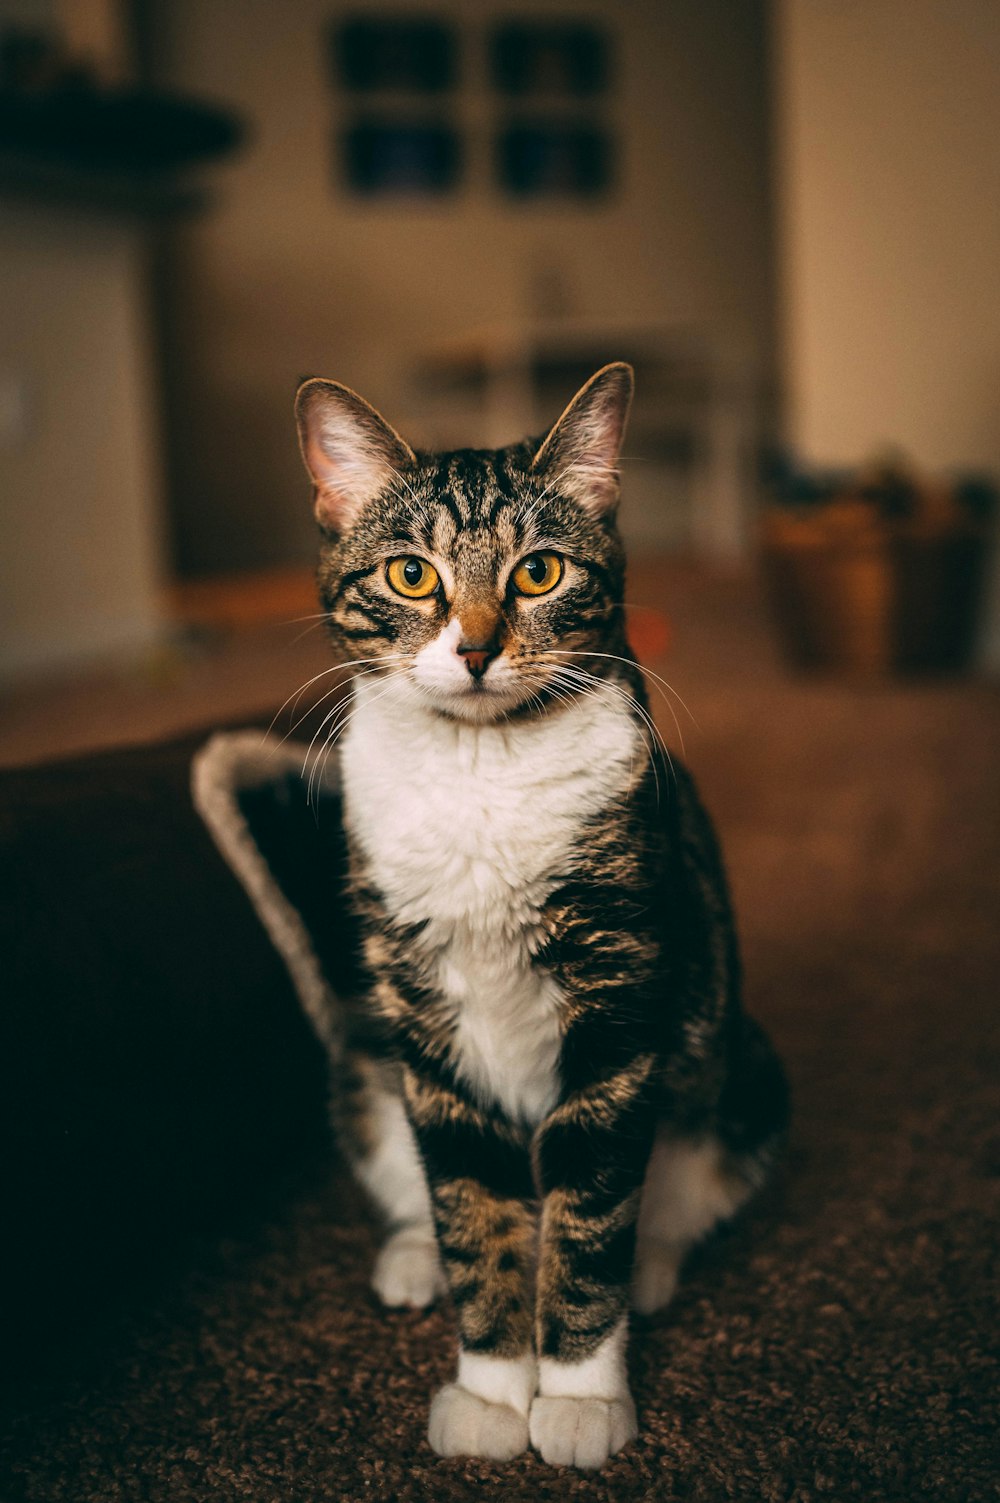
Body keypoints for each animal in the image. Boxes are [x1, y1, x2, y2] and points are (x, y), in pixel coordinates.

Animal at [290, 363, 787, 1466]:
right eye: (411, 576)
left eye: (540, 573)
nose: (477, 648)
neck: (481, 772)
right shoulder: (424, 1022)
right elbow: (473, 1209)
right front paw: (489, 1388)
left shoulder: (616, 1006)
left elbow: (587, 1214)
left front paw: (580, 1395)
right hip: (365, 1064)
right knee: (412, 1183)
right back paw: (411, 1262)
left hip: (739, 1066)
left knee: (677, 1189)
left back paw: (653, 1268)